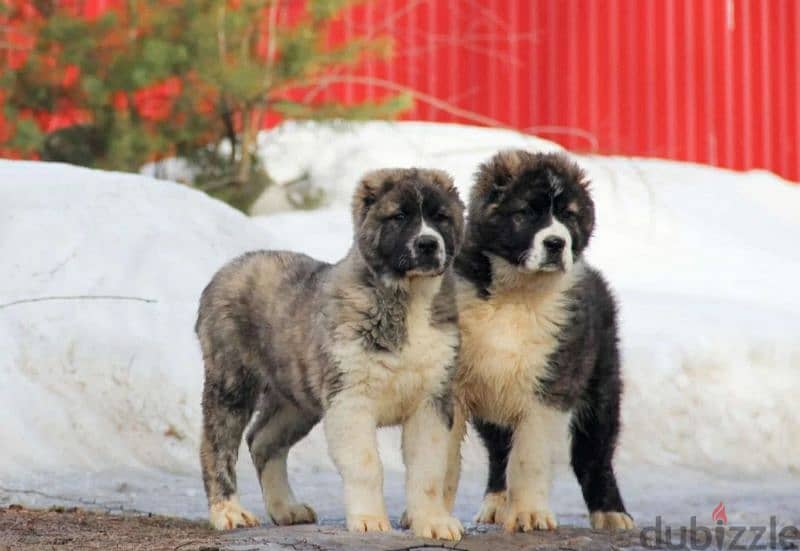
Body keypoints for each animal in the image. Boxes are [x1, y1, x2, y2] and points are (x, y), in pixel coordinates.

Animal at [196, 167, 466, 540]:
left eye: (441, 217)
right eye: (399, 217)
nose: (428, 244)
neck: (409, 298)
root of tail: (229, 268)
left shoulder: (431, 401)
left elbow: (428, 469)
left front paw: (432, 522)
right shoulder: (350, 399)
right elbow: (367, 465)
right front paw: (369, 520)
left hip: (296, 399)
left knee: (262, 440)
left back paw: (286, 508)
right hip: (232, 382)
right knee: (217, 446)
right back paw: (228, 512)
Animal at [446, 151, 636, 536]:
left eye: (569, 216)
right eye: (526, 212)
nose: (556, 243)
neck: (518, 294)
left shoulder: (551, 386)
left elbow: (530, 455)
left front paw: (530, 514)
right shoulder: (456, 383)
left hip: (602, 386)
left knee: (594, 454)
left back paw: (610, 512)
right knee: (499, 451)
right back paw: (496, 502)